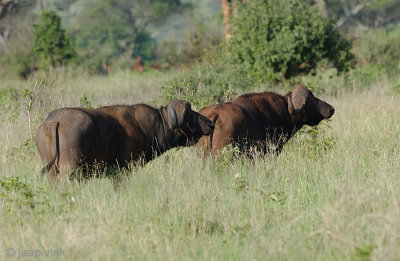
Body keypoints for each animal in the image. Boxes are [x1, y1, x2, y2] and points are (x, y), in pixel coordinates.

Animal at [36, 98, 214, 180]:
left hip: (52, 173)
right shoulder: (123, 171)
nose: (211, 124)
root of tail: (55, 121)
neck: (155, 125)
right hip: (71, 171)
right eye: (190, 115)